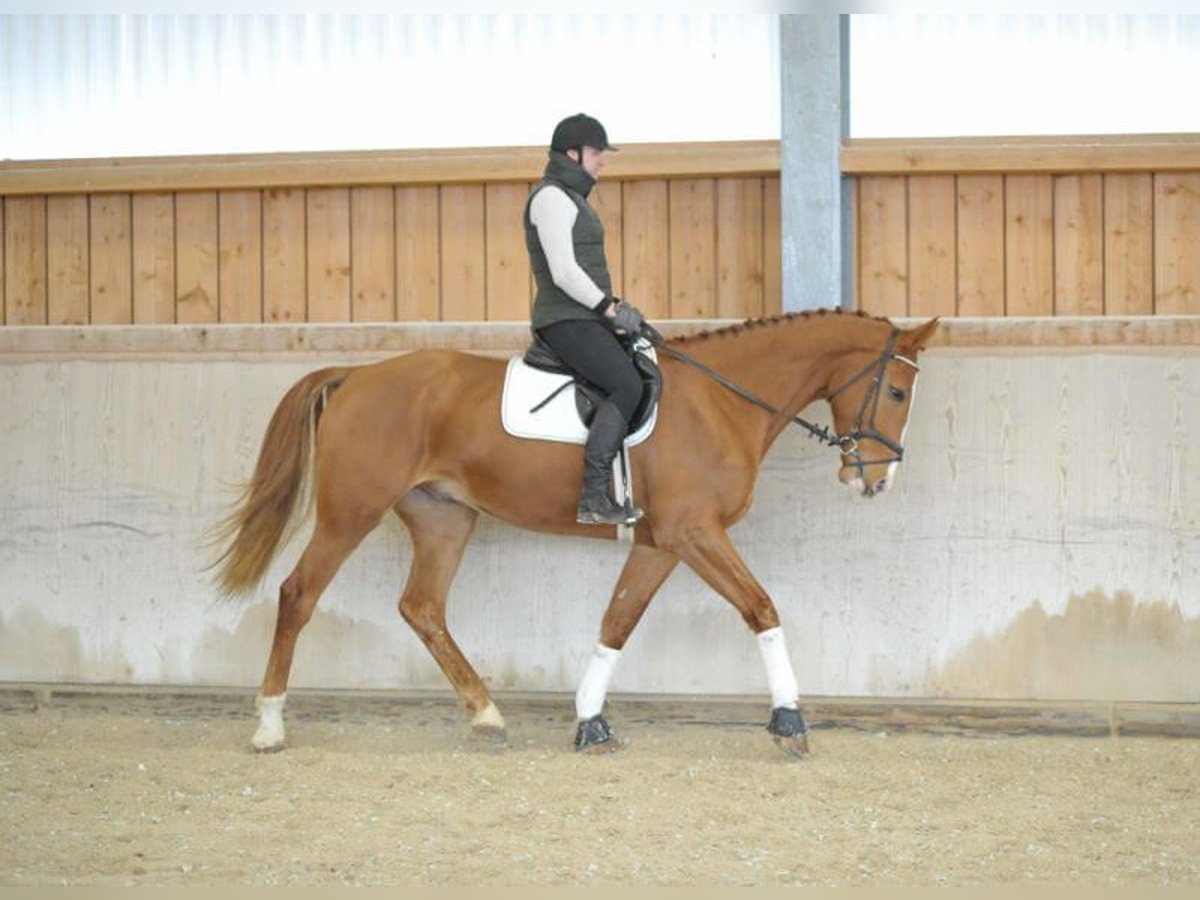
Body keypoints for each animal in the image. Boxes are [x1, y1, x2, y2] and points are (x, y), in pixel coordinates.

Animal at [218, 312, 936, 763]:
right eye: (898, 391)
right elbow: (761, 607)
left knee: (421, 608)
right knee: (298, 594)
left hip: (444, 518)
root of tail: (359, 374)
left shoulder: (660, 542)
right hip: (351, 510)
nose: (877, 480)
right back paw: (269, 727)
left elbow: (617, 622)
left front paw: (591, 724)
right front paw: (790, 722)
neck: (720, 401)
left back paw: (486, 715)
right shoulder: (693, 532)